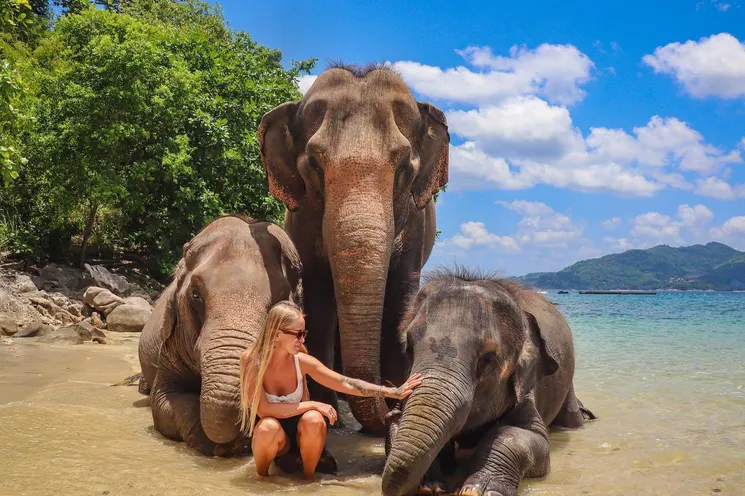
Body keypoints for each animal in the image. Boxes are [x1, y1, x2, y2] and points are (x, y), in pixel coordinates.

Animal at [258, 64, 449, 433]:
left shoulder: (416, 223)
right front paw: (330, 417)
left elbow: (400, 300)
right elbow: (318, 300)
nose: (391, 406)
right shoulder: (301, 219)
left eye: (403, 168)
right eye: (314, 166)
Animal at [382, 267, 596, 496]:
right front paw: (430, 486)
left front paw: (479, 490)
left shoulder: (525, 391)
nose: (393, 413)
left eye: (487, 360)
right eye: (409, 348)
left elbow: (529, 438)